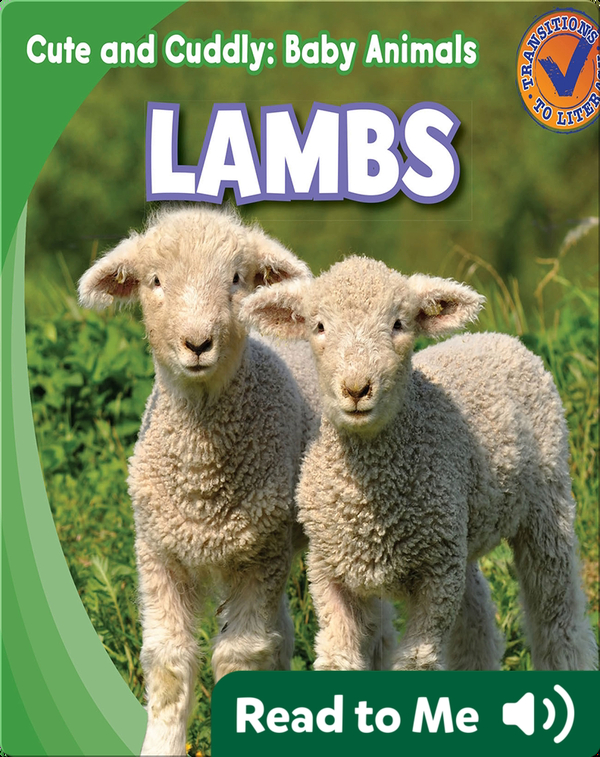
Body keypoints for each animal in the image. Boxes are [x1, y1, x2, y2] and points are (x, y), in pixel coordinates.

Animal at [78, 205, 319, 756]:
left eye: (236, 279)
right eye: (154, 281)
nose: (197, 343)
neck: (201, 484)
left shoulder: (257, 558)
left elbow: (239, 660)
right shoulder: (158, 553)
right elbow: (168, 665)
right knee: (283, 635)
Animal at [240, 255, 598, 672]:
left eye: (399, 323)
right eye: (319, 326)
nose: (357, 389)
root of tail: (499, 338)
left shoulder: (436, 580)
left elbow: (415, 663)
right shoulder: (330, 572)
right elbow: (337, 657)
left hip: (546, 500)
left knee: (556, 609)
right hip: (458, 534)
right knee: (476, 614)